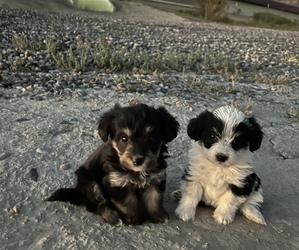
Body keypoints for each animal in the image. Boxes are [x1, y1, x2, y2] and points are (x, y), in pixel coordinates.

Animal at [45, 102, 179, 226]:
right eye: (124, 138)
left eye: (151, 138)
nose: (138, 160)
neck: (138, 171)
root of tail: (78, 192)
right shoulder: (115, 181)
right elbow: (127, 201)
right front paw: (133, 219)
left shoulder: (157, 176)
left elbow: (154, 197)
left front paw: (158, 216)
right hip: (90, 183)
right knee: (98, 205)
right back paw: (113, 217)